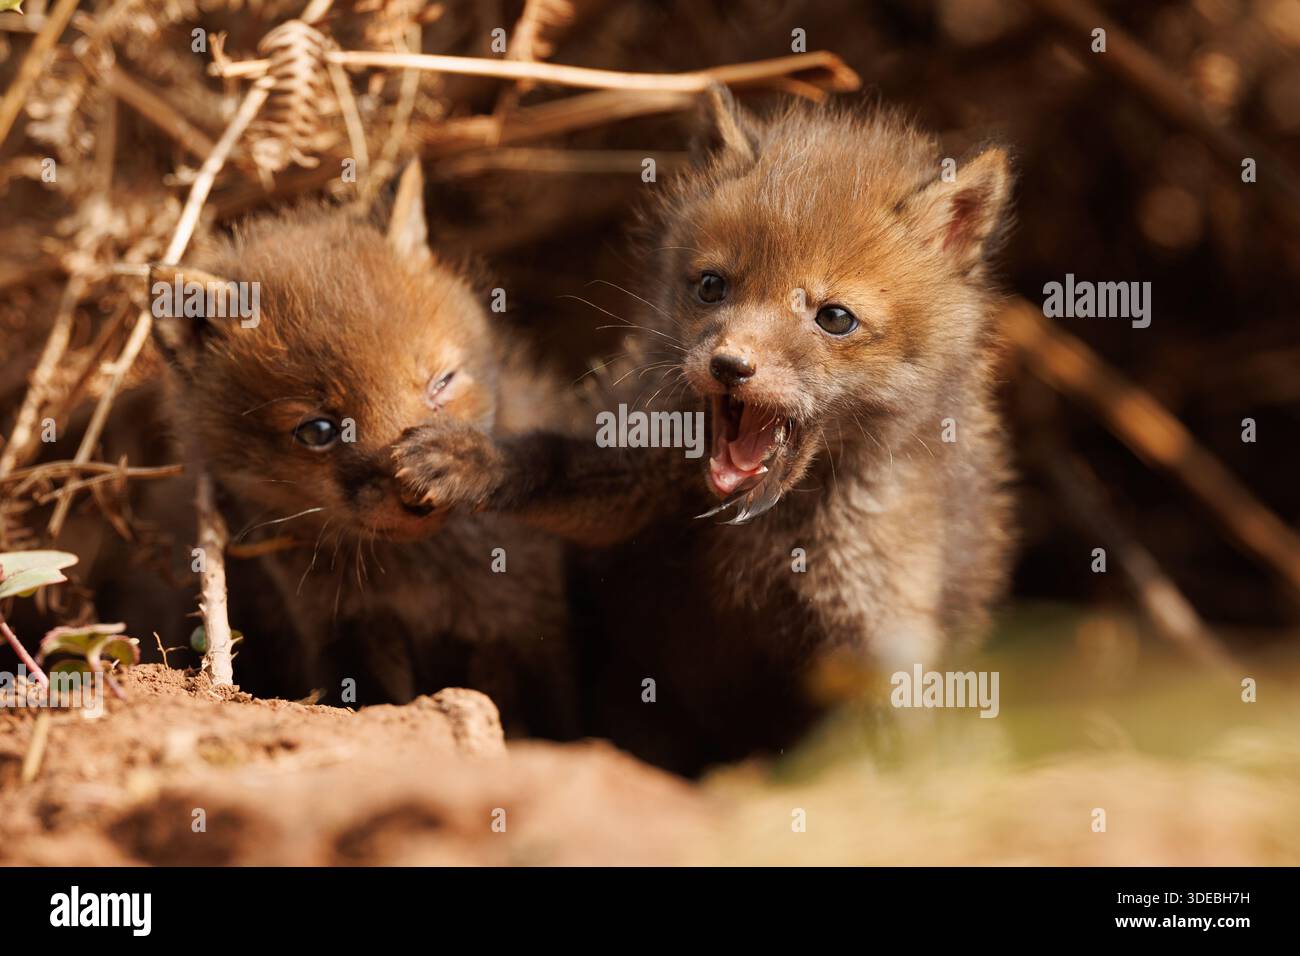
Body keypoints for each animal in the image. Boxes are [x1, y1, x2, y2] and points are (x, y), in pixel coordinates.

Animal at [150, 162, 578, 738]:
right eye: (318, 430)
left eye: (443, 382)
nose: (419, 494)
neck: (420, 580)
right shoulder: (345, 628)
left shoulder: (525, 622)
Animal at [394, 92, 1016, 773]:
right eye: (712, 285)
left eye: (834, 318)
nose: (730, 365)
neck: (767, 530)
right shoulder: (633, 484)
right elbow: (547, 459)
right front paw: (471, 459)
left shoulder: (877, 618)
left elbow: (894, 734)